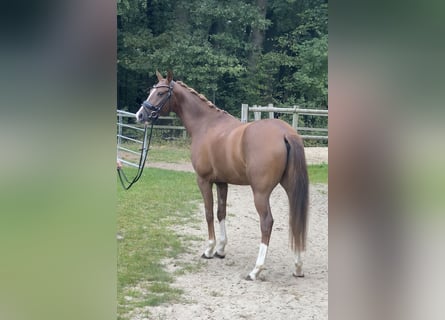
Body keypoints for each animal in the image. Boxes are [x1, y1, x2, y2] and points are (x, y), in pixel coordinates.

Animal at [136, 70, 308, 280]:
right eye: (151, 91)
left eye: (161, 93)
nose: (140, 114)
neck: (206, 125)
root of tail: (285, 133)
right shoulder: (222, 182)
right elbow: (221, 213)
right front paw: (221, 249)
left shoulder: (203, 180)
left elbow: (209, 213)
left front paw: (209, 249)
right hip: (290, 187)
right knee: (295, 220)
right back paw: (298, 267)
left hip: (260, 193)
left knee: (267, 222)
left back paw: (256, 270)